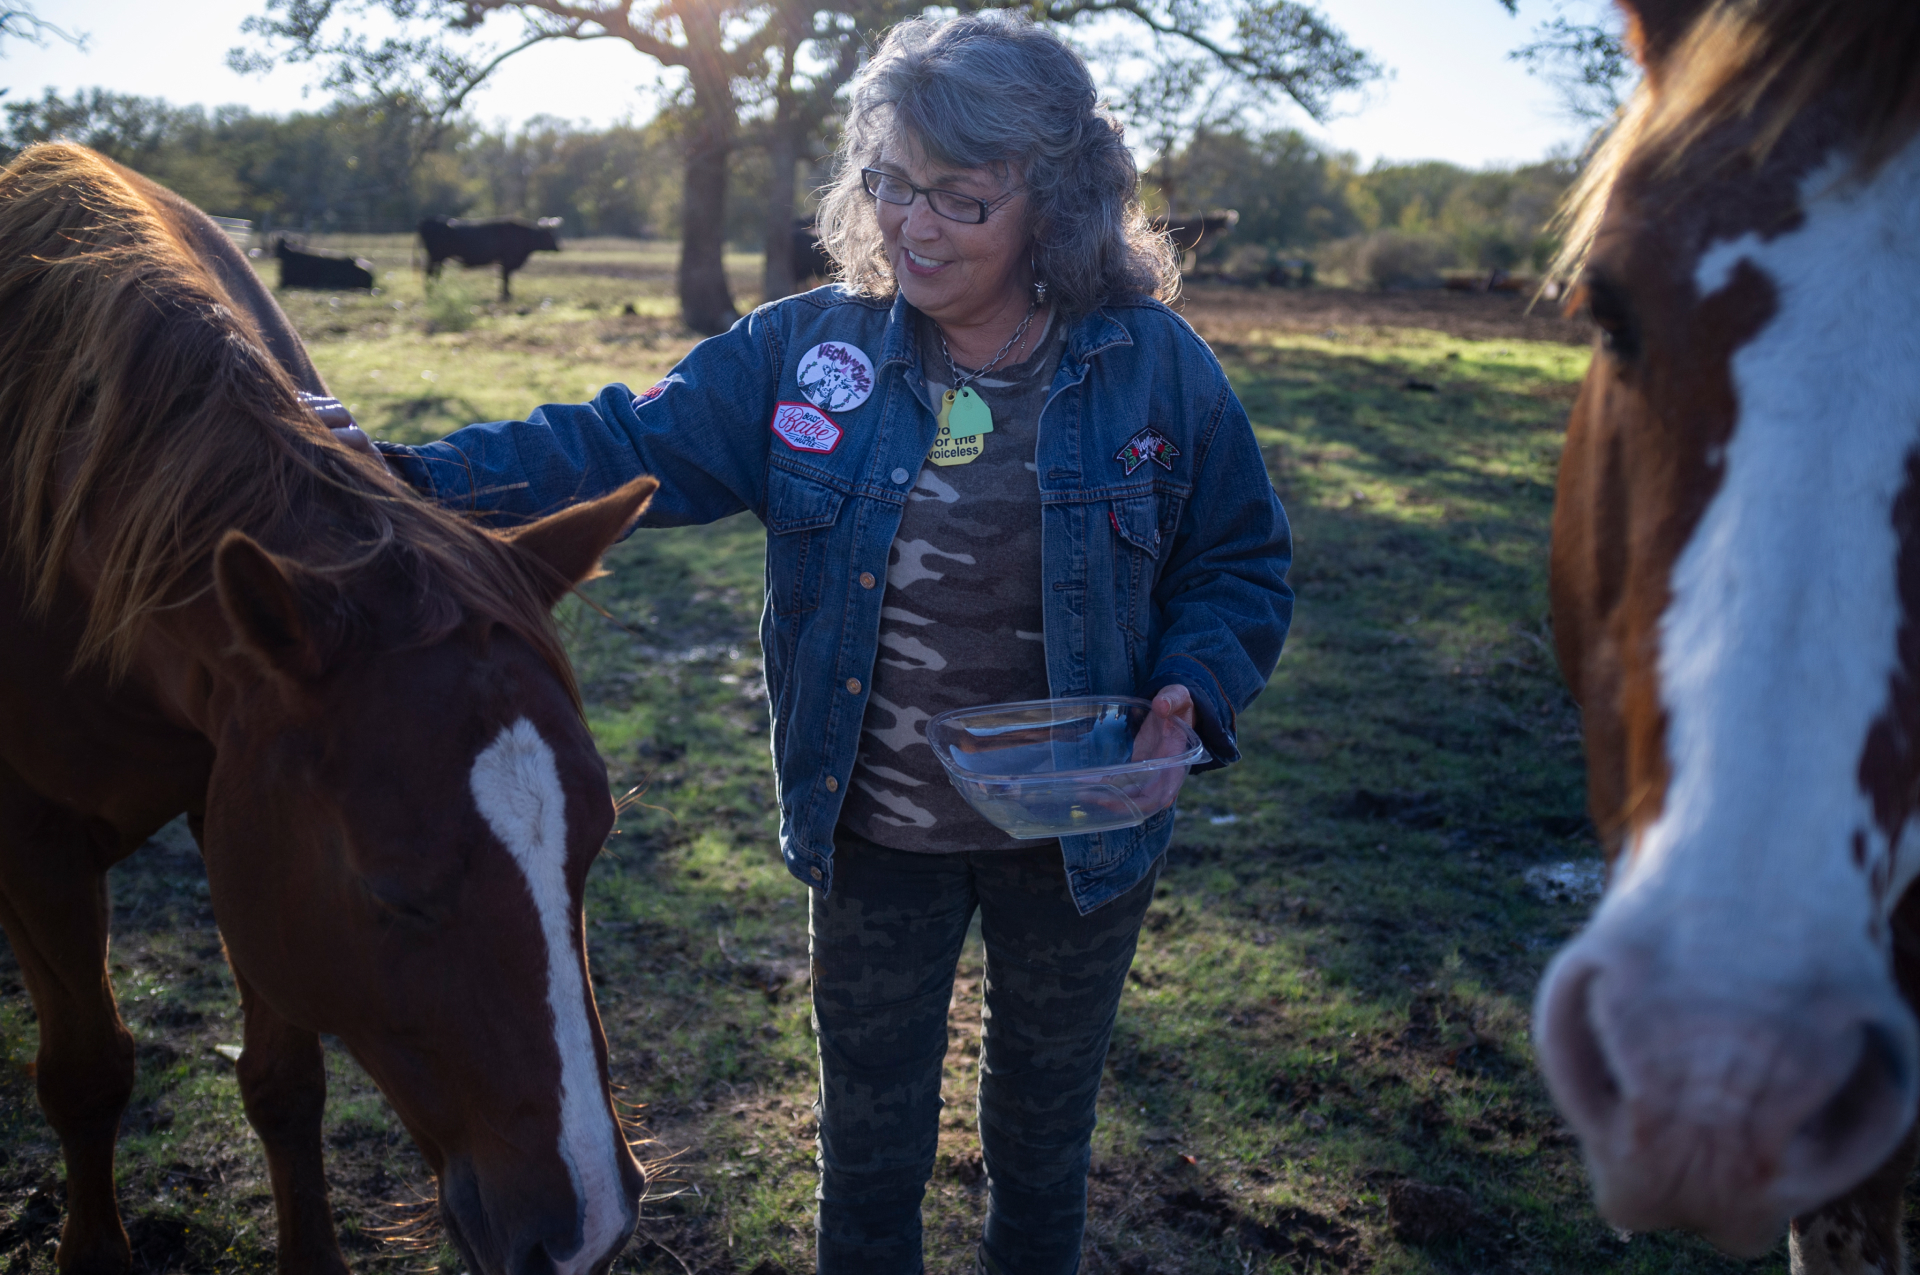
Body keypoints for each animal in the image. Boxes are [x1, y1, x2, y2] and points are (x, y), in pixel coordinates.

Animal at [420, 217, 560, 303]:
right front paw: (506, 296)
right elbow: (505, 279)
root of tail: (427, 221)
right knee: (430, 273)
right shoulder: (507, 262)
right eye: (548, 236)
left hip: (439, 259)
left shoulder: (502, 263)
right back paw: (430, 293)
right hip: (435, 257)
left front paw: (504, 295)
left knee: (435, 274)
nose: (558, 248)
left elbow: (503, 278)